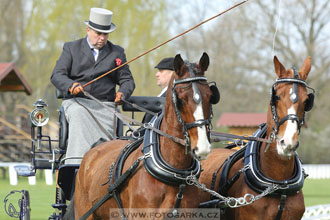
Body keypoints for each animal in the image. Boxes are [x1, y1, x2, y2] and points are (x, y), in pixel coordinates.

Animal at [70, 52, 219, 219]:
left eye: (210, 96)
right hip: (85, 212)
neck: (176, 175)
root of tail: (94, 149)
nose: (202, 147)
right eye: (180, 99)